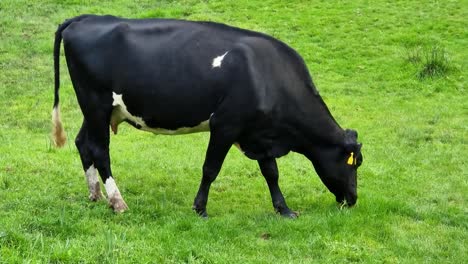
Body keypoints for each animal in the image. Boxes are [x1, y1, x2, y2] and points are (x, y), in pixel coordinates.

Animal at [53, 13, 364, 217]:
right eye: (355, 163)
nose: (352, 199)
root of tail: (86, 18)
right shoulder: (225, 124)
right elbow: (210, 168)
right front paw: (200, 207)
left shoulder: (259, 133)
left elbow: (271, 173)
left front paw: (283, 209)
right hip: (96, 102)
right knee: (99, 150)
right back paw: (117, 202)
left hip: (97, 110)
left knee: (83, 143)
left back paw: (95, 194)